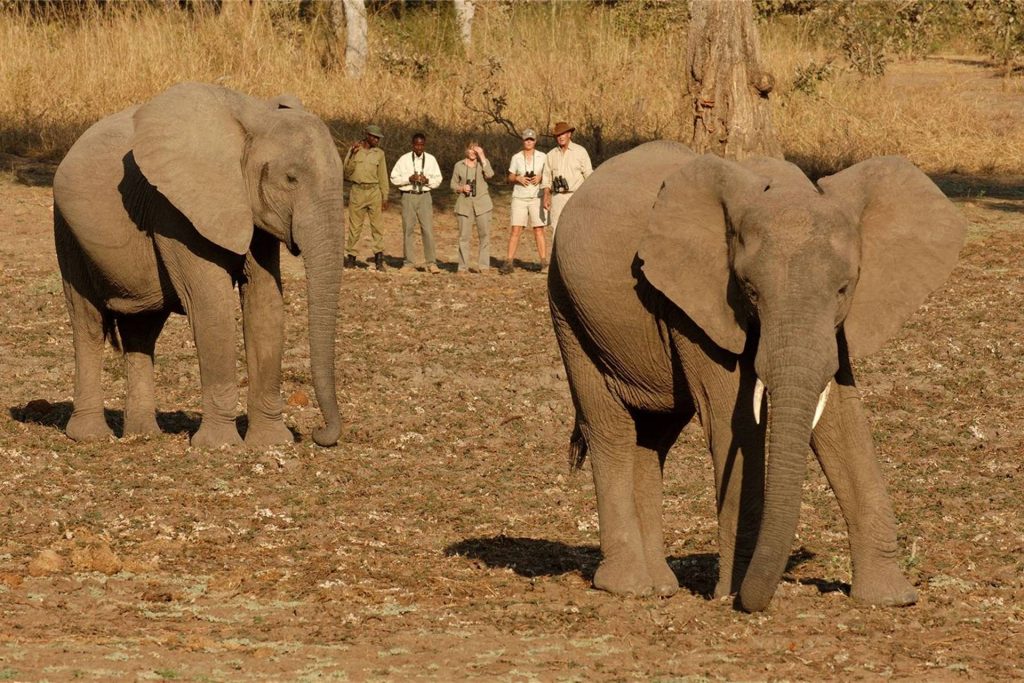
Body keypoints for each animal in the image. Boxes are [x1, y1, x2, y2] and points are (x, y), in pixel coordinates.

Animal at [548, 141, 962, 610]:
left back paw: (662, 586)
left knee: (653, 438)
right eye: (750, 290)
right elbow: (736, 417)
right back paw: (630, 587)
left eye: (844, 289)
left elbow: (840, 417)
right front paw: (733, 595)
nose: (753, 596)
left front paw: (890, 599)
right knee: (611, 429)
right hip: (568, 306)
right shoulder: (696, 302)